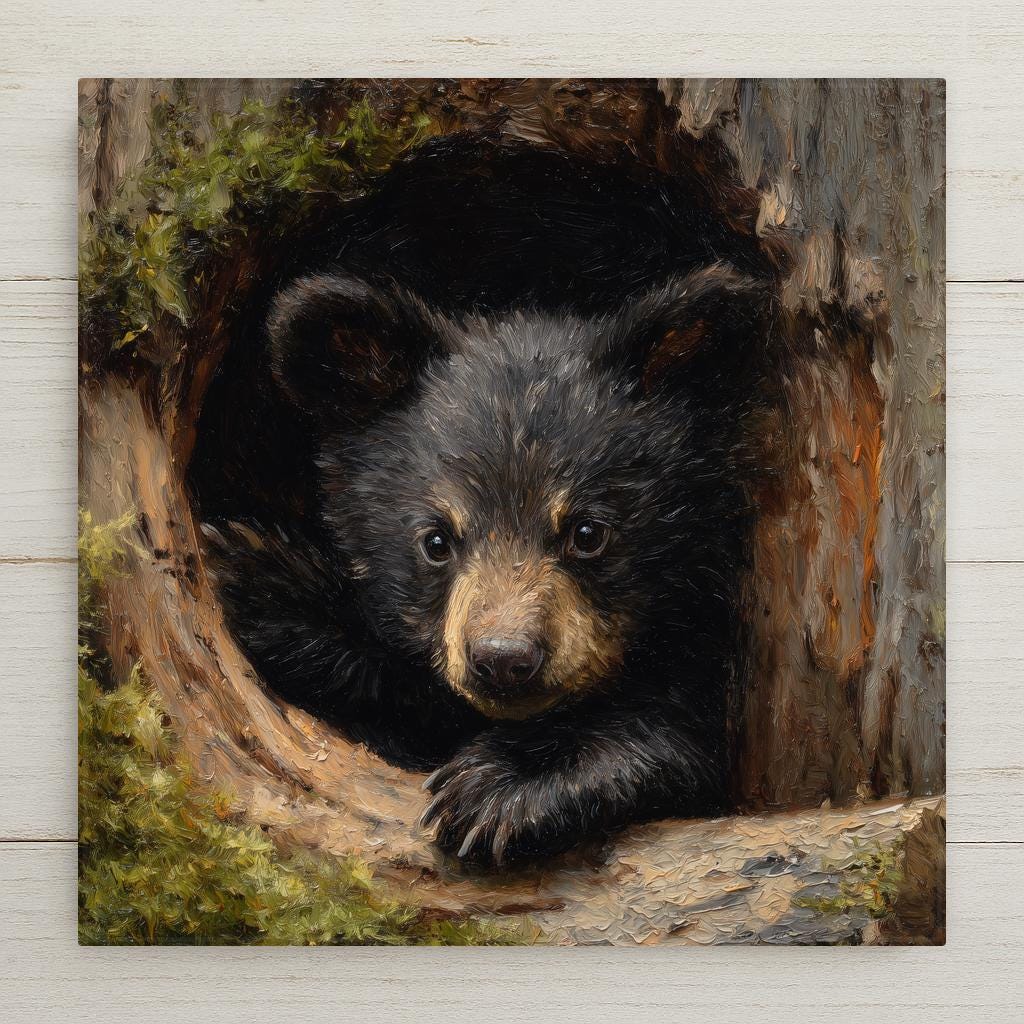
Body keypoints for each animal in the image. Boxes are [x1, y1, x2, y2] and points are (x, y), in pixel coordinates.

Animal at [199, 135, 775, 867]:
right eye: (435, 541)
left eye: (588, 532)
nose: (505, 658)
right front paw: (258, 578)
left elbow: (680, 734)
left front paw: (504, 786)